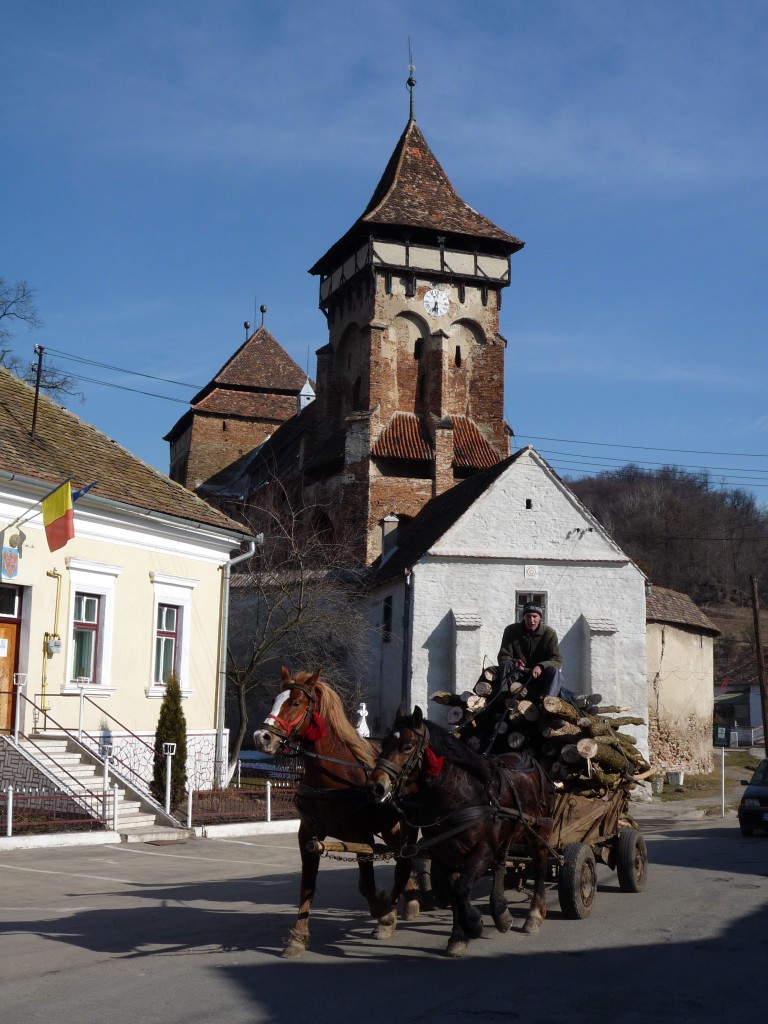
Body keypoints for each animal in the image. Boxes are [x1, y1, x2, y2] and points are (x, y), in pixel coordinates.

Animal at [256, 667, 417, 954]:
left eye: (295, 703)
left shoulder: (362, 837)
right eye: (275, 699)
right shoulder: (308, 836)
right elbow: (307, 886)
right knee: (403, 856)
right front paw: (297, 938)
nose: (262, 737)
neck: (333, 775)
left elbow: (366, 886)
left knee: (405, 858)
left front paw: (385, 915)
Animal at [370, 708, 557, 954]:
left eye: (407, 746)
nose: (377, 786)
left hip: (539, 829)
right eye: (383, 743)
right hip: (507, 833)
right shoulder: (444, 856)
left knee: (541, 866)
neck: (462, 795)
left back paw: (534, 915)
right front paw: (458, 937)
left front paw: (474, 924)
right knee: (501, 863)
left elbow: (460, 890)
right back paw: (501, 913)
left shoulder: (482, 852)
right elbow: (454, 894)